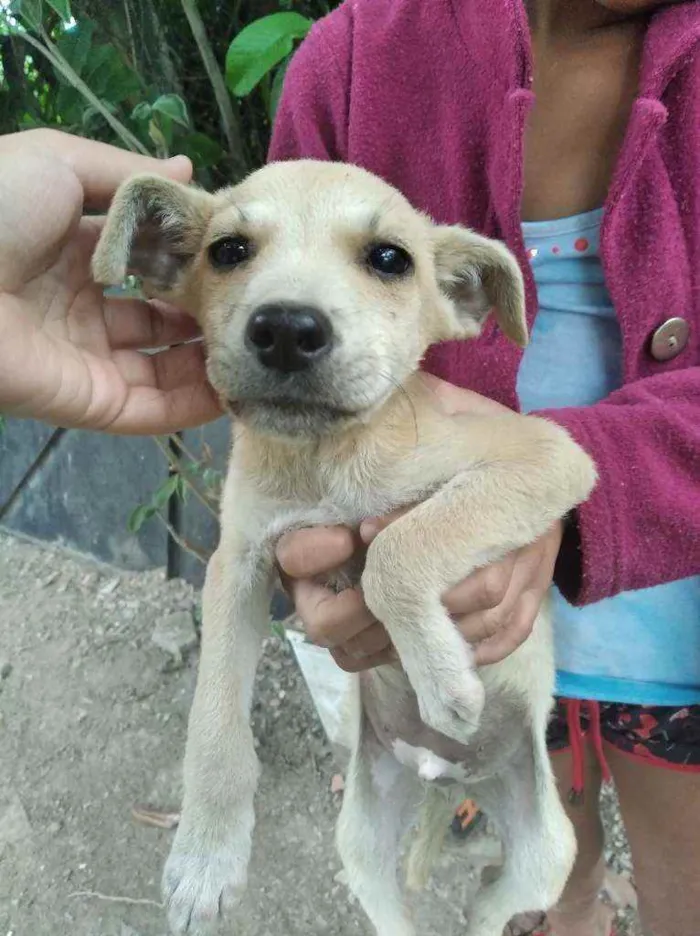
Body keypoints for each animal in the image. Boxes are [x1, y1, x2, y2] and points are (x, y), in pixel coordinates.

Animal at [93, 163, 596, 936]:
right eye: (228, 250)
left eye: (390, 258)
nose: (285, 329)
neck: (324, 458)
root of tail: (451, 779)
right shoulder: (237, 564)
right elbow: (213, 721)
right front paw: (205, 858)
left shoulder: (546, 456)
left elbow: (399, 544)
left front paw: (443, 680)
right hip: (361, 836)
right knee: (395, 908)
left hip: (547, 850)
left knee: (492, 904)